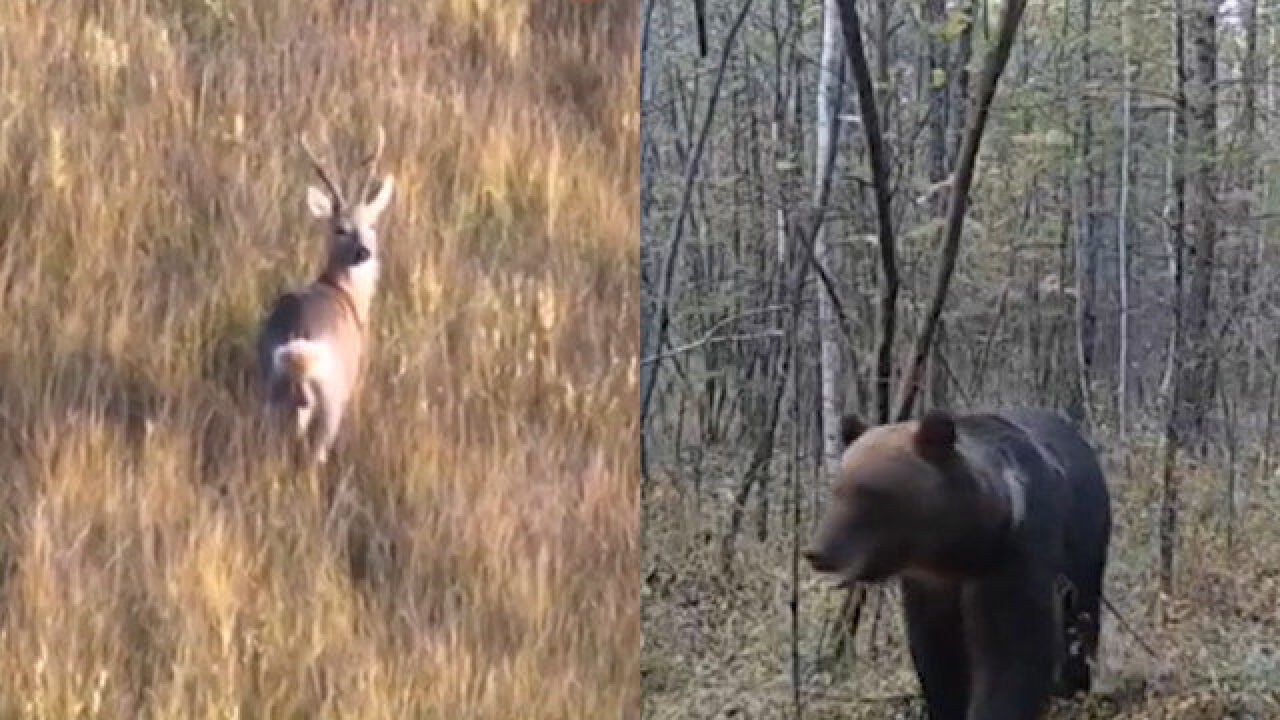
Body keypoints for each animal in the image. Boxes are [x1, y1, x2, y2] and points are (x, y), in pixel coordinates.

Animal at [258, 127, 394, 466]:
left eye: (371, 224)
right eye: (339, 229)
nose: (364, 251)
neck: (343, 292)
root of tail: (299, 347)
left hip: (270, 395)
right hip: (329, 404)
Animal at [798, 407, 1111, 712]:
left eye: (868, 492)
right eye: (836, 490)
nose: (817, 551)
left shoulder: (1012, 557)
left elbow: (1011, 651)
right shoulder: (929, 587)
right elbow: (939, 656)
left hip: (1085, 544)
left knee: (1080, 618)